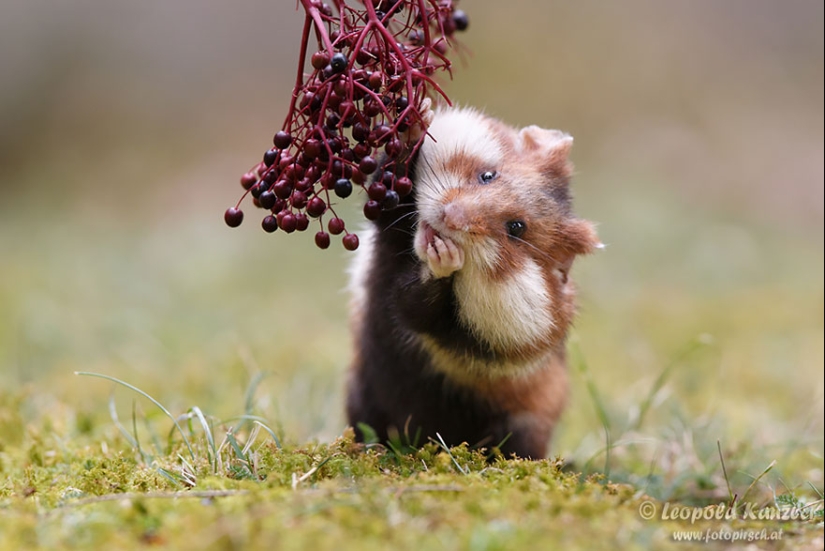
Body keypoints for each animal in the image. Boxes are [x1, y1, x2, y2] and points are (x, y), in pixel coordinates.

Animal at [345, 107, 600, 459]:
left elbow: (418, 307)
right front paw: (417, 119)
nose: (449, 216)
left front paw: (443, 257)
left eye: (516, 228)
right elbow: (387, 187)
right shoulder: (385, 233)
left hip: (524, 425)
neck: (405, 259)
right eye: (488, 176)